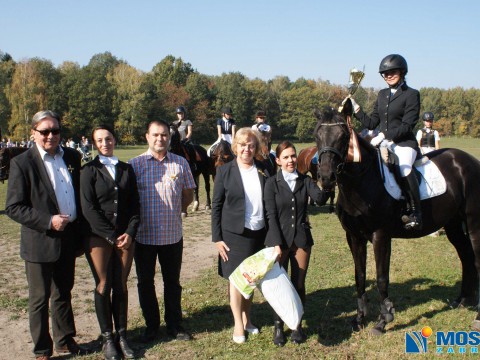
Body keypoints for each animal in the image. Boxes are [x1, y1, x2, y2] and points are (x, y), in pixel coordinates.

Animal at [316, 104, 480, 334]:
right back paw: (462, 300)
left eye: (343, 136)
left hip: (473, 224)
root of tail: (469, 161)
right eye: (318, 135)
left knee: (476, 258)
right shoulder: (354, 236)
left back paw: (477, 316)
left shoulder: (381, 236)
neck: (362, 182)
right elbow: (360, 276)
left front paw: (384, 320)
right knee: (465, 256)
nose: (325, 178)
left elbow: (381, 277)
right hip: (454, 225)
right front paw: (359, 319)